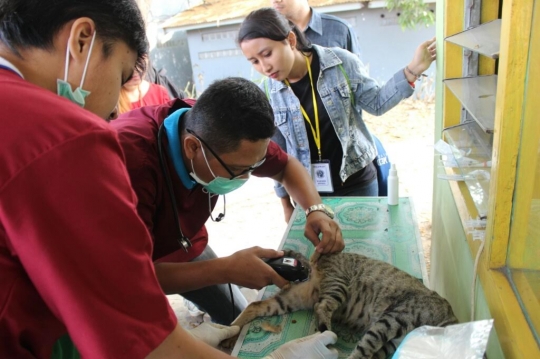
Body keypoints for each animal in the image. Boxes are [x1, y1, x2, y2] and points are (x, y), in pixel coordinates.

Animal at [226, 250, 458, 359]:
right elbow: (365, 347)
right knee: (322, 307)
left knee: (255, 306)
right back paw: (325, 332)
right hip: (338, 285)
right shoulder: (391, 320)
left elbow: (373, 353)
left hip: (292, 299)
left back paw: (231, 331)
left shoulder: (390, 343)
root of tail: (314, 261)